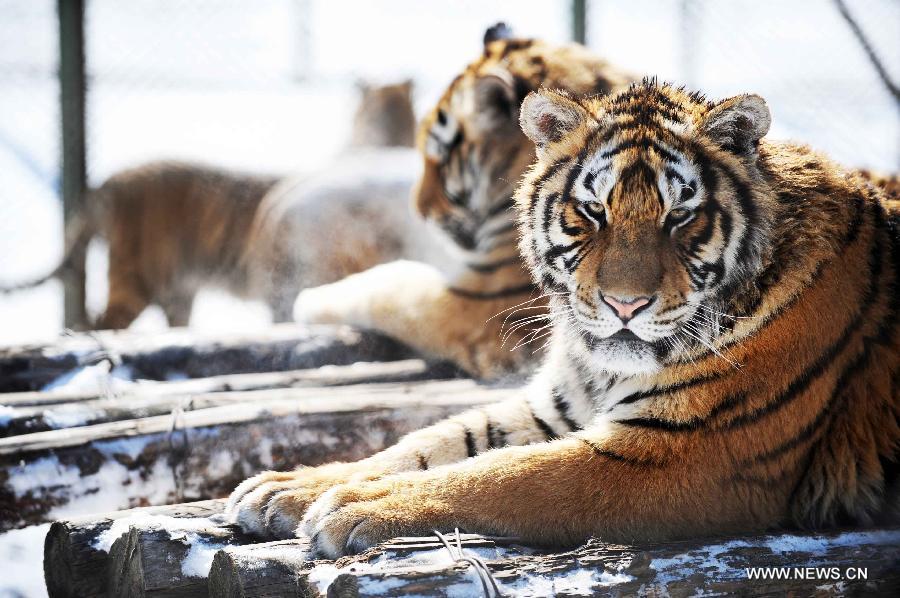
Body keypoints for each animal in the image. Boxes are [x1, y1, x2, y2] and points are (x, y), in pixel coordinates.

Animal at [227, 81, 900, 564]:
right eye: (592, 211)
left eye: (680, 217)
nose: (626, 305)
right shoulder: (553, 407)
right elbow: (428, 444)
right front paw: (289, 487)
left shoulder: (683, 454)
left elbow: (502, 476)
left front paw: (352, 505)